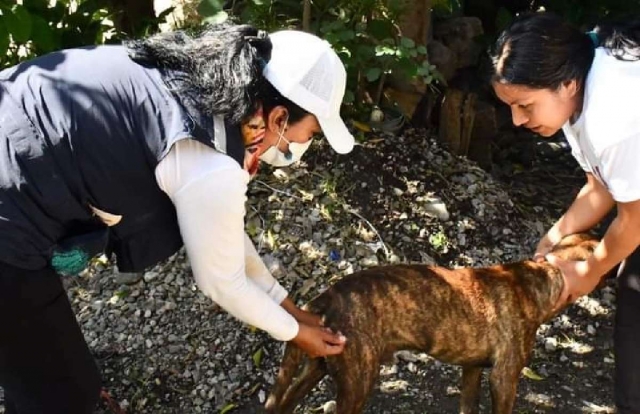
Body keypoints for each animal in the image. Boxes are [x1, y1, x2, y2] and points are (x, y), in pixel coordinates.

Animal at [264, 234, 600, 412]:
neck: (538, 278)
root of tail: (326, 297)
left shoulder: (472, 370)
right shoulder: (504, 378)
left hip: (318, 366)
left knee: (286, 402)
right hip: (357, 382)